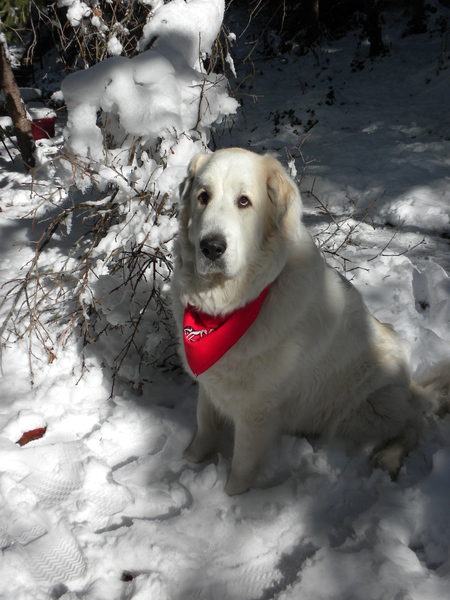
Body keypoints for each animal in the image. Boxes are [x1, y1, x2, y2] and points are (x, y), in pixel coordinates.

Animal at [171, 148, 448, 494]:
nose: (210, 247)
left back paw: (389, 458)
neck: (229, 307)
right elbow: (205, 423)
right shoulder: (211, 383)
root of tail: (409, 383)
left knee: (413, 422)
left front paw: (232, 495)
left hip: (361, 411)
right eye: (203, 197)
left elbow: (243, 463)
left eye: (244, 201)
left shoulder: (257, 408)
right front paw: (192, 458)